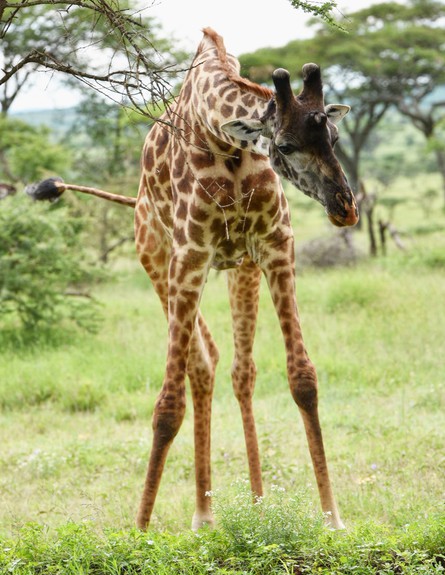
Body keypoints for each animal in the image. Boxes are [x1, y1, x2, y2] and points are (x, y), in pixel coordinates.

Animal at [32, 27, 358, 532]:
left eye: (335, 135)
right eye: (284, 146)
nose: (345, 207)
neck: (228, 145)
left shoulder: (275, 246)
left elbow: (302, 377)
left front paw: (332, 517)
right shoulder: (189, 256)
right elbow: (167, 405)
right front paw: (139, 530)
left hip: (239, 267)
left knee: (239, 369)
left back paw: (253, 502)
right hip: (157, 260)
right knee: (200, 365)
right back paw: (202, 514)